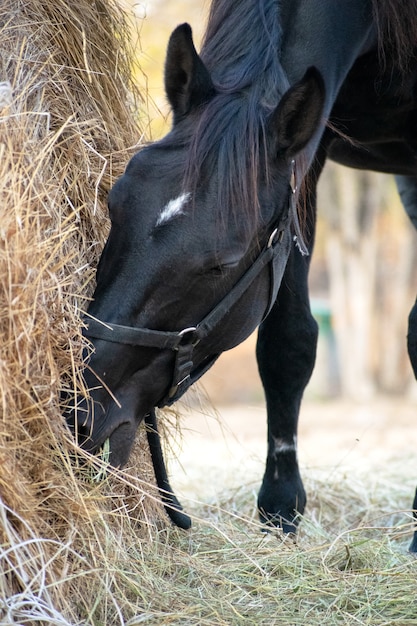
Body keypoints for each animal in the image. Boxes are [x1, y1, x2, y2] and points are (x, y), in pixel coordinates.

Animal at [66, 0, 414, 544]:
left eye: (222, 263)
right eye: (115, 204)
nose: (79, 411)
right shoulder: (306, 157)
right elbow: (287, 342)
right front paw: (281, 508)